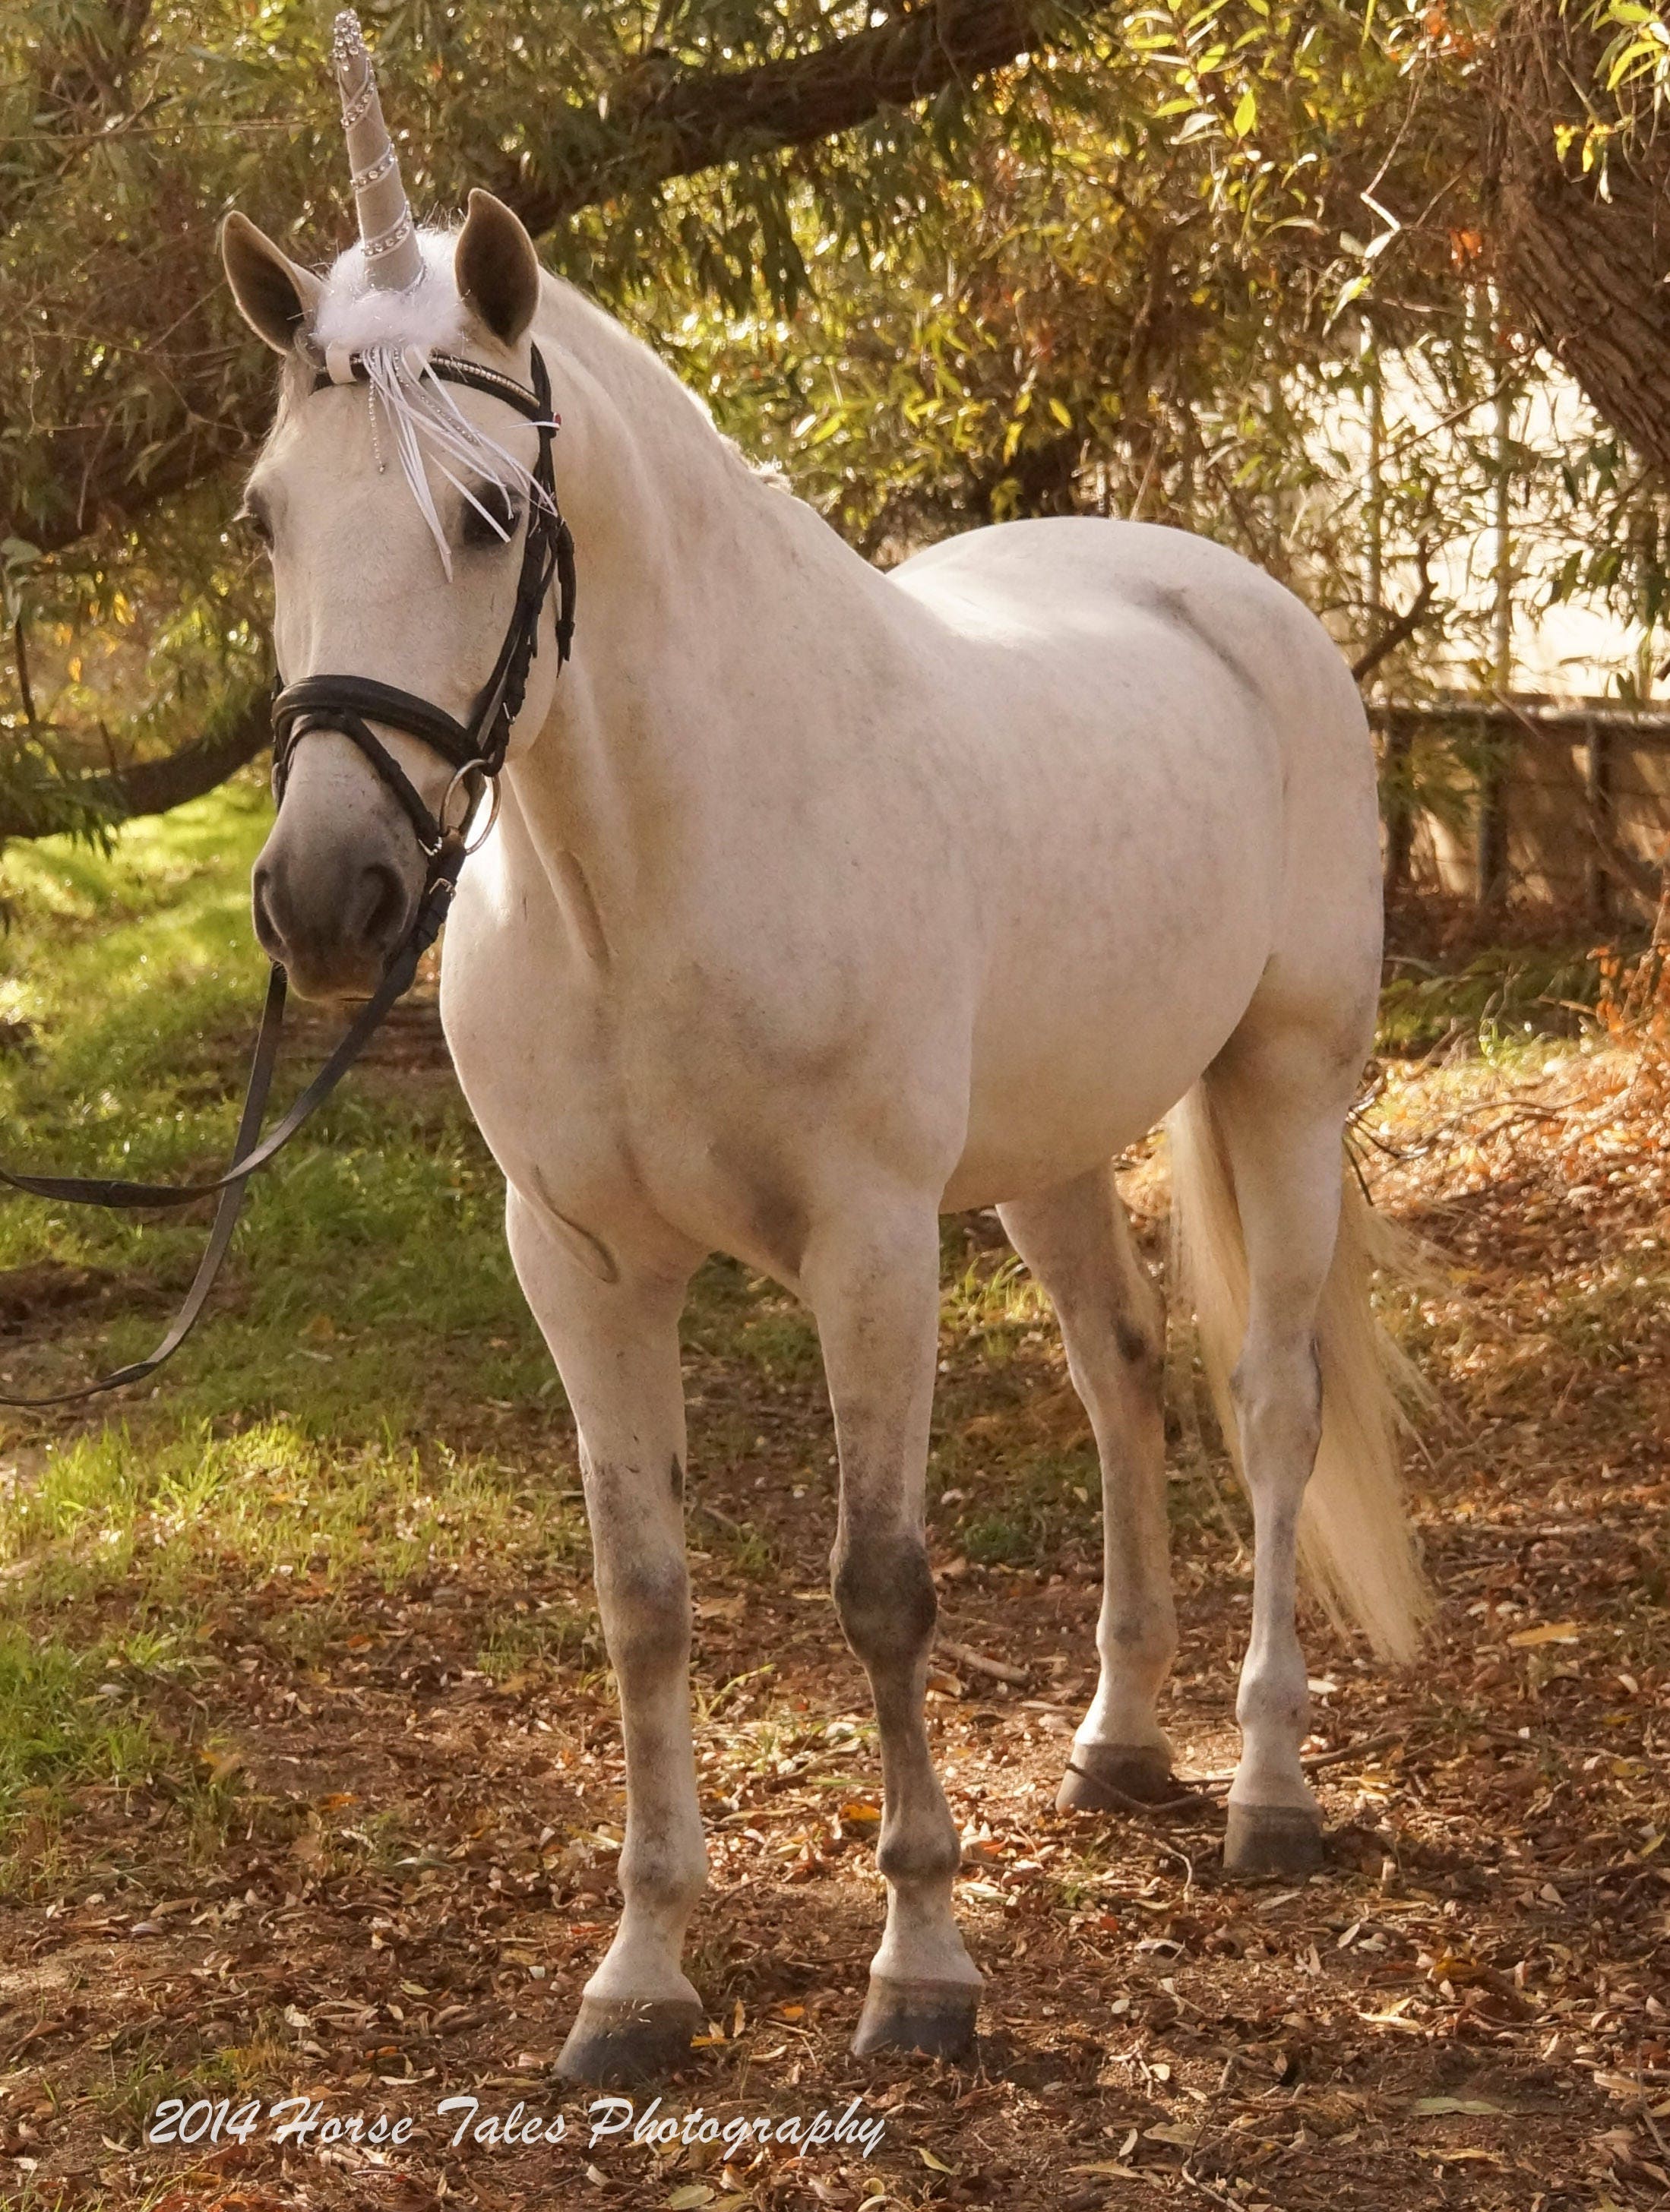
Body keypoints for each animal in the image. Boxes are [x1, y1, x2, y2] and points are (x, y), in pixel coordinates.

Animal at [219, 168, 1424, 2070]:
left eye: (488, 515)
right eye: (267, 521)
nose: (328, 898)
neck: (648, 871)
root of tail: (1229, 594)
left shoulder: (868, 1250)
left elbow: (881, 1584)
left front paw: (921, 1961)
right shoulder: (579, 1265)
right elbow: (642, 1602)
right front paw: (638, 1977)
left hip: (1286, 1086)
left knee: (1271, 1405)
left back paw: (1267, 1790)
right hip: (1049, 1154)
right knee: (1122, 1380)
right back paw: (1121, 1741)